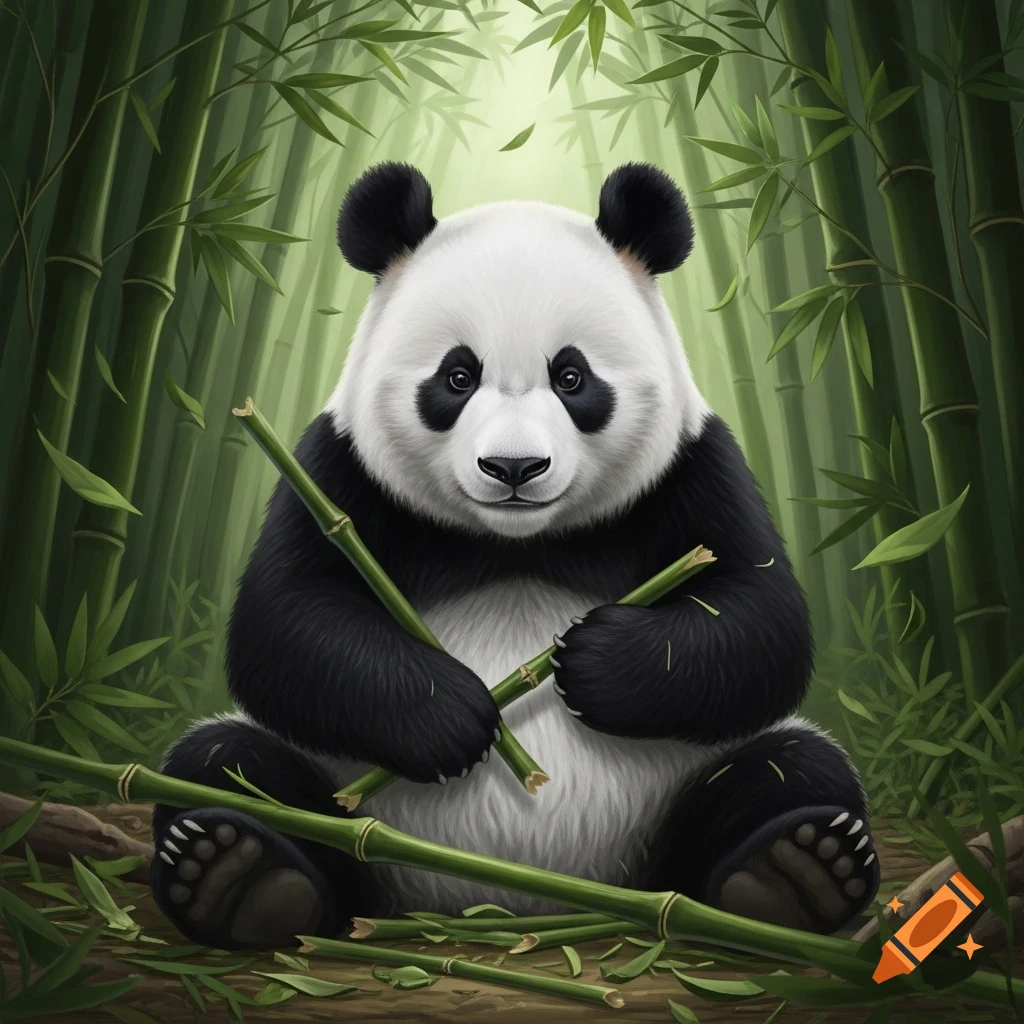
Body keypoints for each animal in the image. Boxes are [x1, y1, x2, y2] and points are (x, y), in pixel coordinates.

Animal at [149, 162, 880, 950]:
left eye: (572, 377)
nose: (514, 467)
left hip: (679, 798)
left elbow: (759, 618)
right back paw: (239, 878)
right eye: (457, 376)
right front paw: (449, 714)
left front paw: (591, 661)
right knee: (225, 764)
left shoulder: (696, 467)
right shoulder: (335, 471)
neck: (514, 544)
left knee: (792, 769)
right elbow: (285, 623)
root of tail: (509, 900)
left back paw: (794, 876)